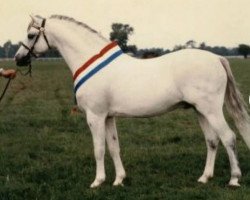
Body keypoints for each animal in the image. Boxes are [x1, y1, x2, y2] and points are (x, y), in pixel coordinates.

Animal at [14, 15, 249, 188]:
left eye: (31, 34)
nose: (18, 58)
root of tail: (217, 58)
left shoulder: (95, 117)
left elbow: (99, 149)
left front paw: (97, 182)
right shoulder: (108, 117)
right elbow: (113, 147)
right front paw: (119, 180)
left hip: (211, 110)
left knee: (228, 137)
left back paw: (234, 179)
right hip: (200, 110)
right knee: (212, 140)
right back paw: (204, 178)